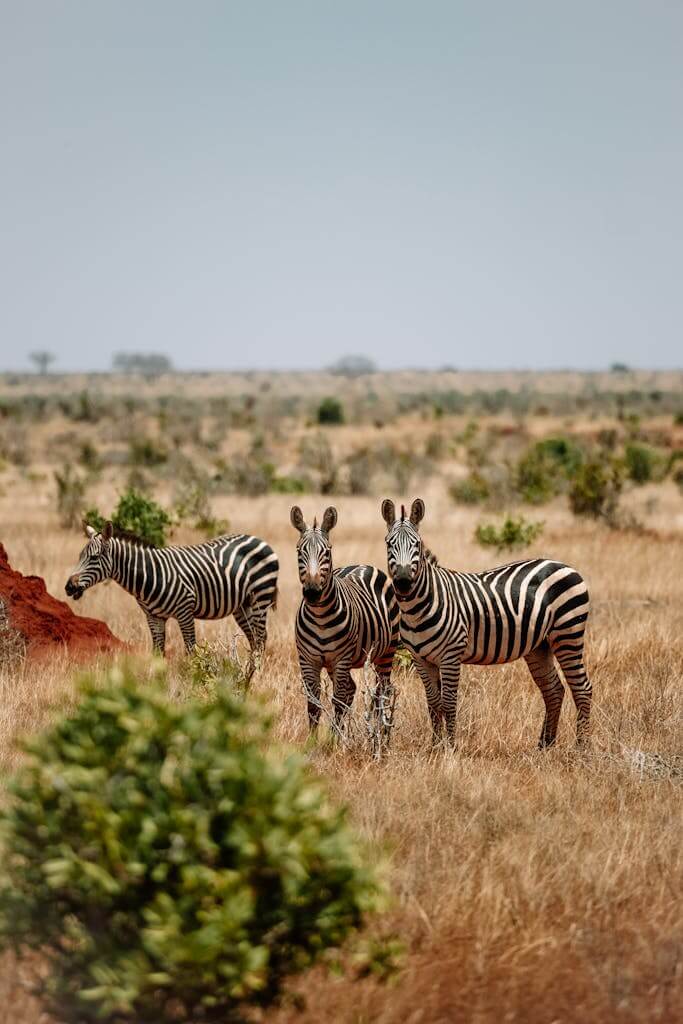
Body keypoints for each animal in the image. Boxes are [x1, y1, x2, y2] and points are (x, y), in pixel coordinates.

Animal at [65, 522, 279, 674]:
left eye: (94, 558)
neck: (150, 575)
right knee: (254, 639)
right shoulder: (153, 617)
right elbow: (158, 652)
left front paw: (195, 681)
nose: (68, 587)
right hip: (243, 605)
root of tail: (258, 539)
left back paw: (256, 675)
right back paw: (249, 672)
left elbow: (191, 650)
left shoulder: (185, 611)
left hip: (260, 598)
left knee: (261, 637)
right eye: (80, 556)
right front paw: (155, 683)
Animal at [290, 505, 400, 737]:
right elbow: (313, 704)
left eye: (327, 551)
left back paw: (380, 734)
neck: (320, 616)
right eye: (299, 551)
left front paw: (333, 741)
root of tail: (363, 565)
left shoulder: (341, 659)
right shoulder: (308, 660)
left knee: (381, 691)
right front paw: (314, 741)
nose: (312, 592)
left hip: (386, 652)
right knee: (351, 688)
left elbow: (338, 701)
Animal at [381, 498, 592, 749]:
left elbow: (448, 702)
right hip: (540, 646)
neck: (417, 609)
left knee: (582, 689)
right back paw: (545, 745)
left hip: (568, 634)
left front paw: (450, 748)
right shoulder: (420, 659)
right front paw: (435, 746)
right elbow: (433, 703)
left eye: (417, 545)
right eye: (389, 544)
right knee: (554, 690)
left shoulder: (451, 654)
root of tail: (565, 565)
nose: (403, 583)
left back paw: (581, 748)